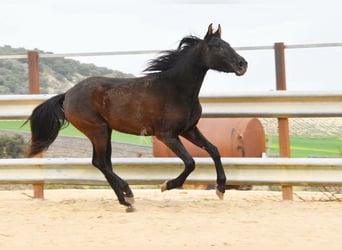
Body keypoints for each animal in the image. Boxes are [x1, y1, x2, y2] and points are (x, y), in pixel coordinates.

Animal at [26, 23, 246, 212]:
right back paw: (128, 194)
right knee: (100, 162)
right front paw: (167, 185)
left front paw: (221, 189)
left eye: (228, 44)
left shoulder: (189, 130)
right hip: (98, 131)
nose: (243, 64)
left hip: (106, 132)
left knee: (103, 162)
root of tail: (67, 95)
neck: (176, 89)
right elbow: (190, 162)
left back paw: (126, 200)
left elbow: (214, 150)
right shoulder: (166, 135)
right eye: (218, 46)